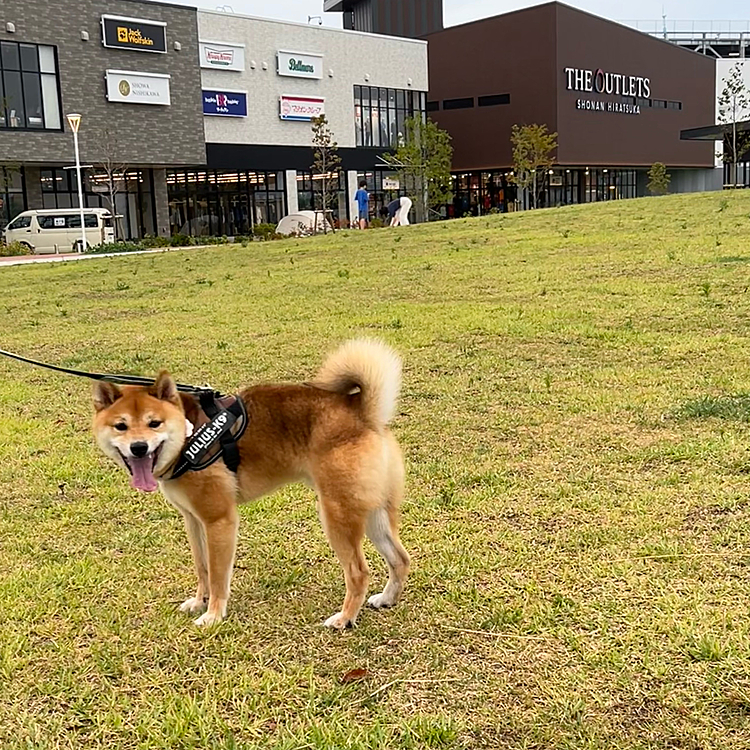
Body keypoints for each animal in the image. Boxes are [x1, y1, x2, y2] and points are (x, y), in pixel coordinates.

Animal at [95, 340, 412, 628]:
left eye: (154, 423)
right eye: (121, 426)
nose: (138, 447)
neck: (188, 434)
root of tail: (361, 409)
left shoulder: (219, 520)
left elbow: (218, 574)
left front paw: (213, 614)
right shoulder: (193, 520)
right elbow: (202, 568)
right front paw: (199, 602)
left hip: (337, 514)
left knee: (358, 572)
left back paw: (345, 618)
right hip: (371, 512)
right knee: (400, 558)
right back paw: (387, 599)